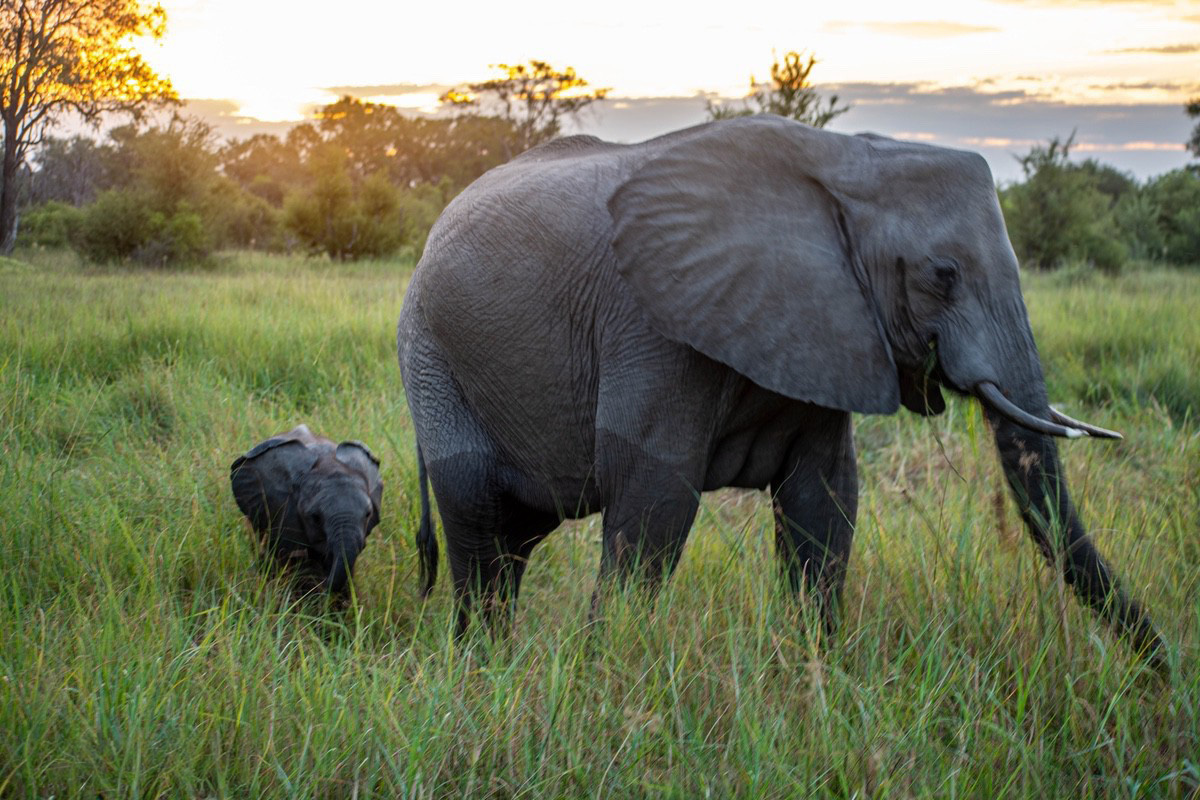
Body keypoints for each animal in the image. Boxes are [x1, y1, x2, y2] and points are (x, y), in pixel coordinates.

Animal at [396, 115, 1165, 668]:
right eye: (941, 275)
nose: (1162, 671)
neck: (848, 162)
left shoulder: (823, 322)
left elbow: (824, 496)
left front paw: (816, 676)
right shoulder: (652, 319)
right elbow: (655, 492)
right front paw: (606, 679)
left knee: (516, 535)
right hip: (429, 352)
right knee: (480, 528)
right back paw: (483, 672)